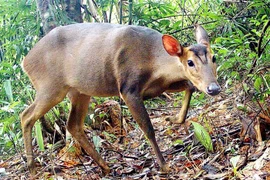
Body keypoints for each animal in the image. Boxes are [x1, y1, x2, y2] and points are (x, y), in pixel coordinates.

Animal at [20, 22, 219, 176]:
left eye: (214, 57)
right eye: (190, 62)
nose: (214, 88)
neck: (153, 61)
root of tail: (25, 62)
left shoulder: (160, 86)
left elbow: (190, 86)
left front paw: (175, 118)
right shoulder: (128, 88)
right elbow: (148, 129)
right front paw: (164, 166)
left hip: (79, 91)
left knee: (73, 124)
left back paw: (105, 166)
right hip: (50, 86)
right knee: (26, 116)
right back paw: (32, 168)